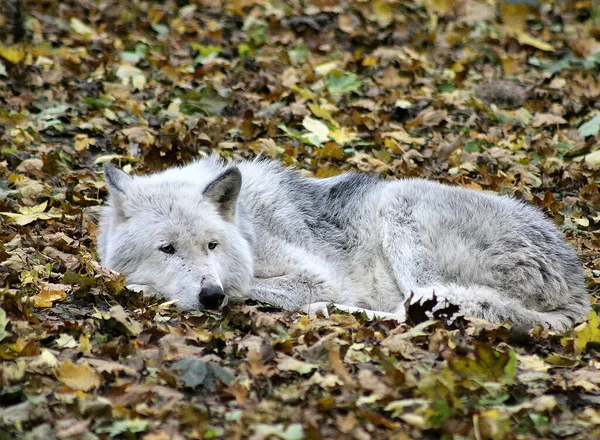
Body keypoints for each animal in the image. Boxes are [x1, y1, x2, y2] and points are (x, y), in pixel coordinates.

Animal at [98, 156, 592, 330]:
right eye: (167, 249)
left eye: (212, 246)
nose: (211, 296)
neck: (248, 228)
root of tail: (579, 282)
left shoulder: (317, 277)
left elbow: (251, 286)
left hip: (399, 206)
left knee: (417, 310)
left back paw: (330, 312)